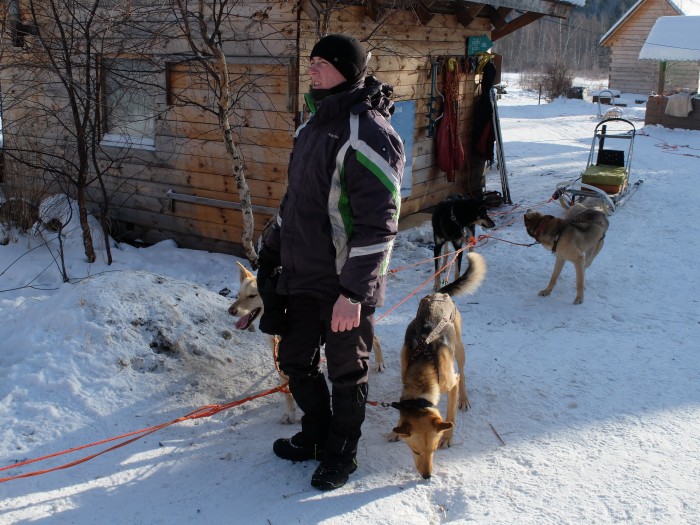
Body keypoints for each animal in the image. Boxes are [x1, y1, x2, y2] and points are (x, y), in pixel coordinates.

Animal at [388, 252, 486, 476]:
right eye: (415, 451)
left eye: (433, 450)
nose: (426, 477)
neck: (424, 366)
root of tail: (439, 293)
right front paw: (396, 431)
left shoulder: (451, 383)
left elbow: (450, 416)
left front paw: (448, 437)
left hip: (459, 349)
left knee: (463, 374)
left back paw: (464, 399)